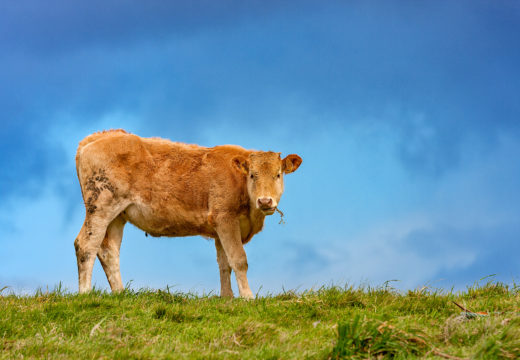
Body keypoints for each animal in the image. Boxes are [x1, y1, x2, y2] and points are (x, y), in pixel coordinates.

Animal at [72, 129, 300, 298]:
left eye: (278, 175)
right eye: (252, 175)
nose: (265, 201)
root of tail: (101, 135)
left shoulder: (219, 228)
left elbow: (224, 264)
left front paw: (227, 298)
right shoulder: (225, 218)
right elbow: (238, 259)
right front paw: (247, 297)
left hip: (118, 215)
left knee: (109, 251)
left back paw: (120, 294)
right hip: (100, 206)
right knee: (86, 245)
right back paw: (85, 294)